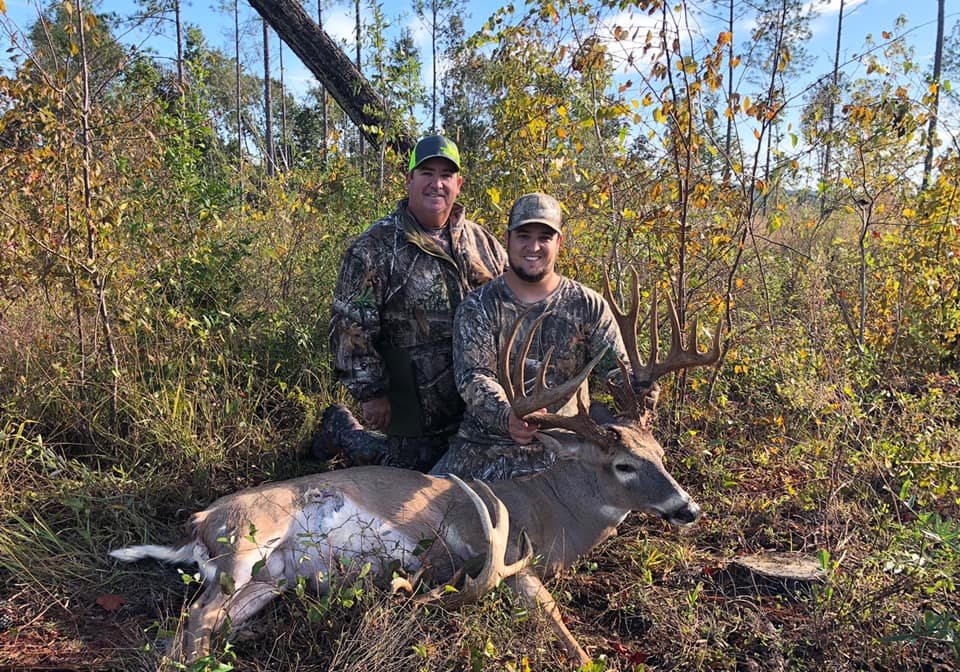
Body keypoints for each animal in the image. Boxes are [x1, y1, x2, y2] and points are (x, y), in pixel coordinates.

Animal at [109, 274, 721, 666]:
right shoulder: (489, 547)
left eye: (660, 453)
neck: (549, 512)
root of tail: (197, 525)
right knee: (190, 627)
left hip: (268, 579)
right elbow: (554, 619)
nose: (687, 508)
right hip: (245, 541)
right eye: (623, 464)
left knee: (208, 622)